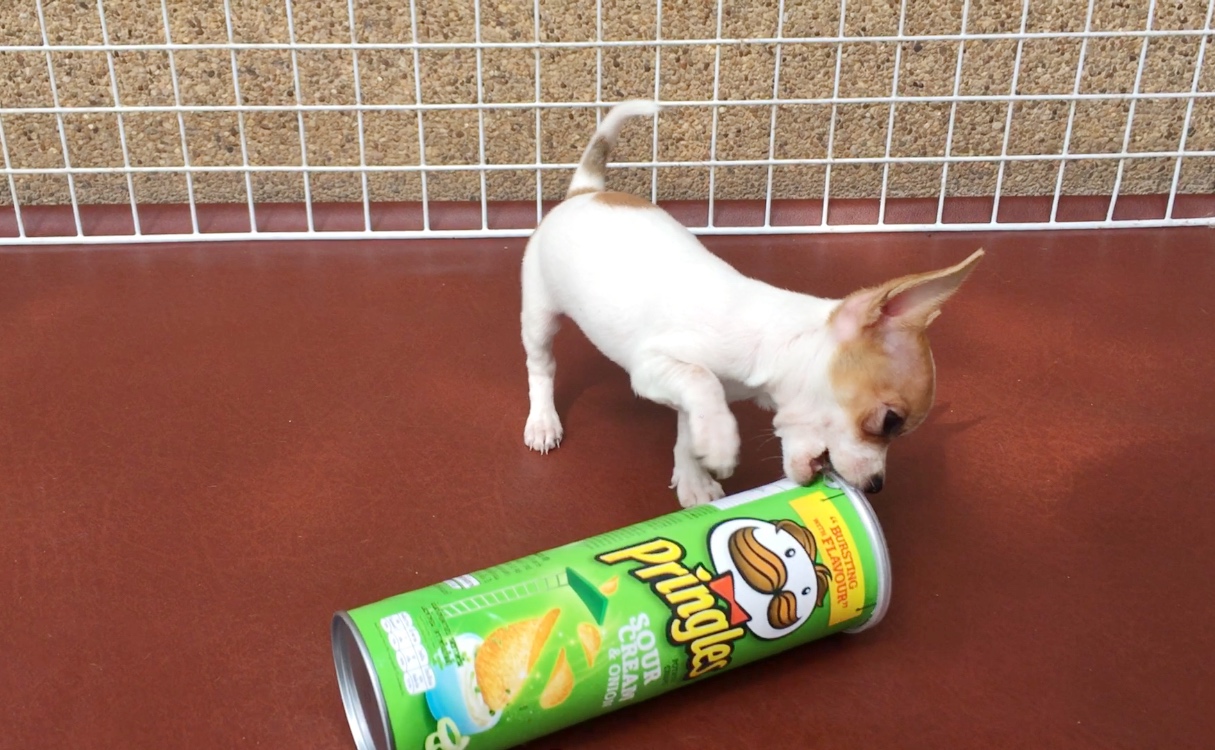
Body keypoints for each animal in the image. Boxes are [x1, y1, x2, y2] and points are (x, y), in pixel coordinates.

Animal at [520, 100, 983, 507]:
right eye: (889, 422)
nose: (876, 486)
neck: (770, 347)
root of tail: (584, 191)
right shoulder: (652, 367)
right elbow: (703, 382)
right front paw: (722, 445)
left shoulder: (677, 390)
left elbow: (689, 426)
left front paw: (694, 474)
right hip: (540, 315)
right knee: (542, 368)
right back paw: (543, 420)